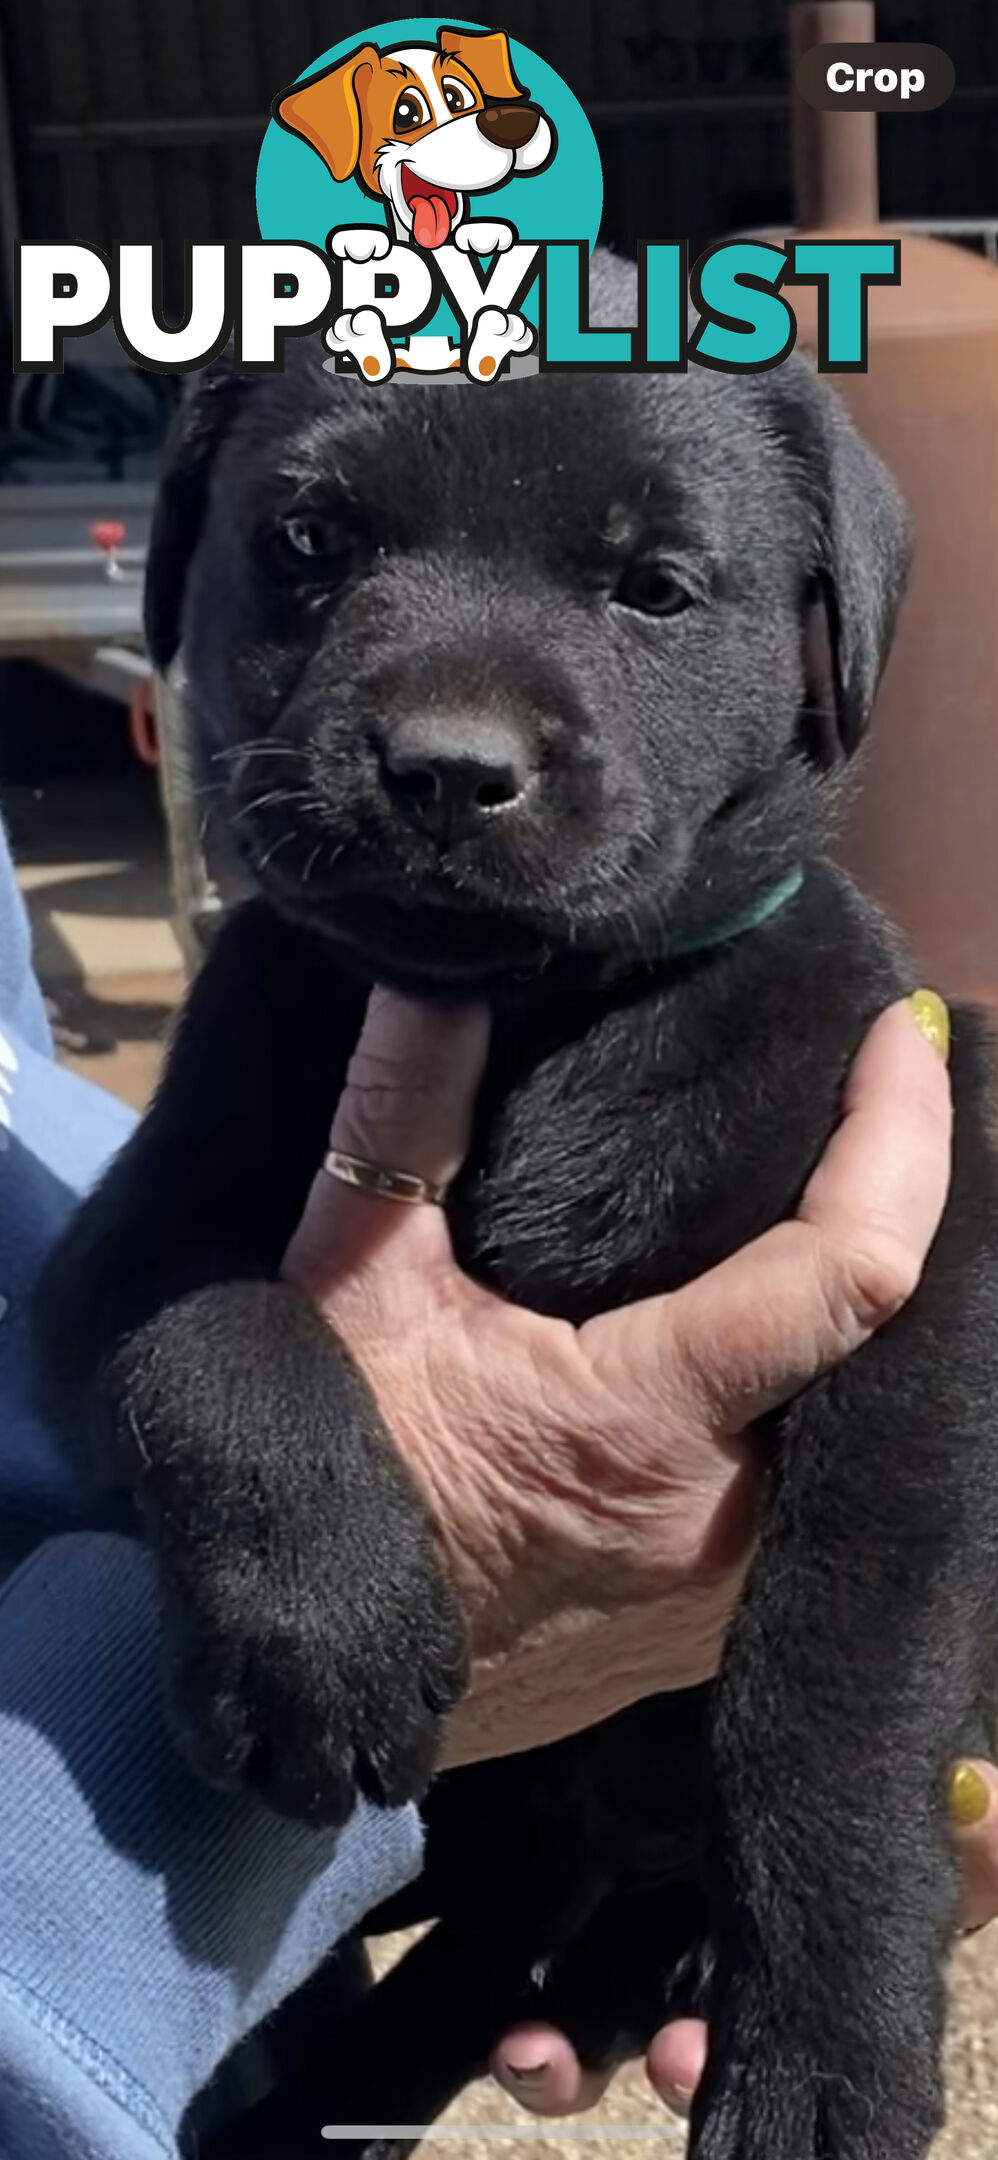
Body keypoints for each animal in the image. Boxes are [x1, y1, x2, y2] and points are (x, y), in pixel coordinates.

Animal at [35, 257, 998, 2160]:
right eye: (310, 541)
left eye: (654, 585)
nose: (444, 767)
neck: (536, 1025)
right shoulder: (124, 1239)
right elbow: (219, 1339)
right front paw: (326, 1632)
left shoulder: (914, 1325)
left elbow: (832, 1690)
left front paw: (825, 2063)